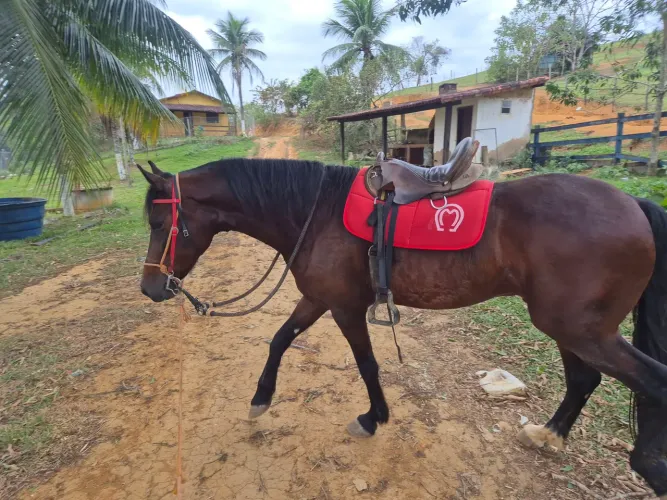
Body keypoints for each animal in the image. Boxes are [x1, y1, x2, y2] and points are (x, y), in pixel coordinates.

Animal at [137, 158, 667, 497]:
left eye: (161, 223)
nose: (150, 288)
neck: (315, 212)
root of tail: (633, 203)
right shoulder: (318, 299)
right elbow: (280, 339)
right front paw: (260, 398)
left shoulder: (345, 308)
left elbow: (367, 364)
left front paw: (374, 417)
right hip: (571, 328)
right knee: (584, 379)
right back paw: (549, 435)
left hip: (579, 329)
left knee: (647, 382)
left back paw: (646, 467)